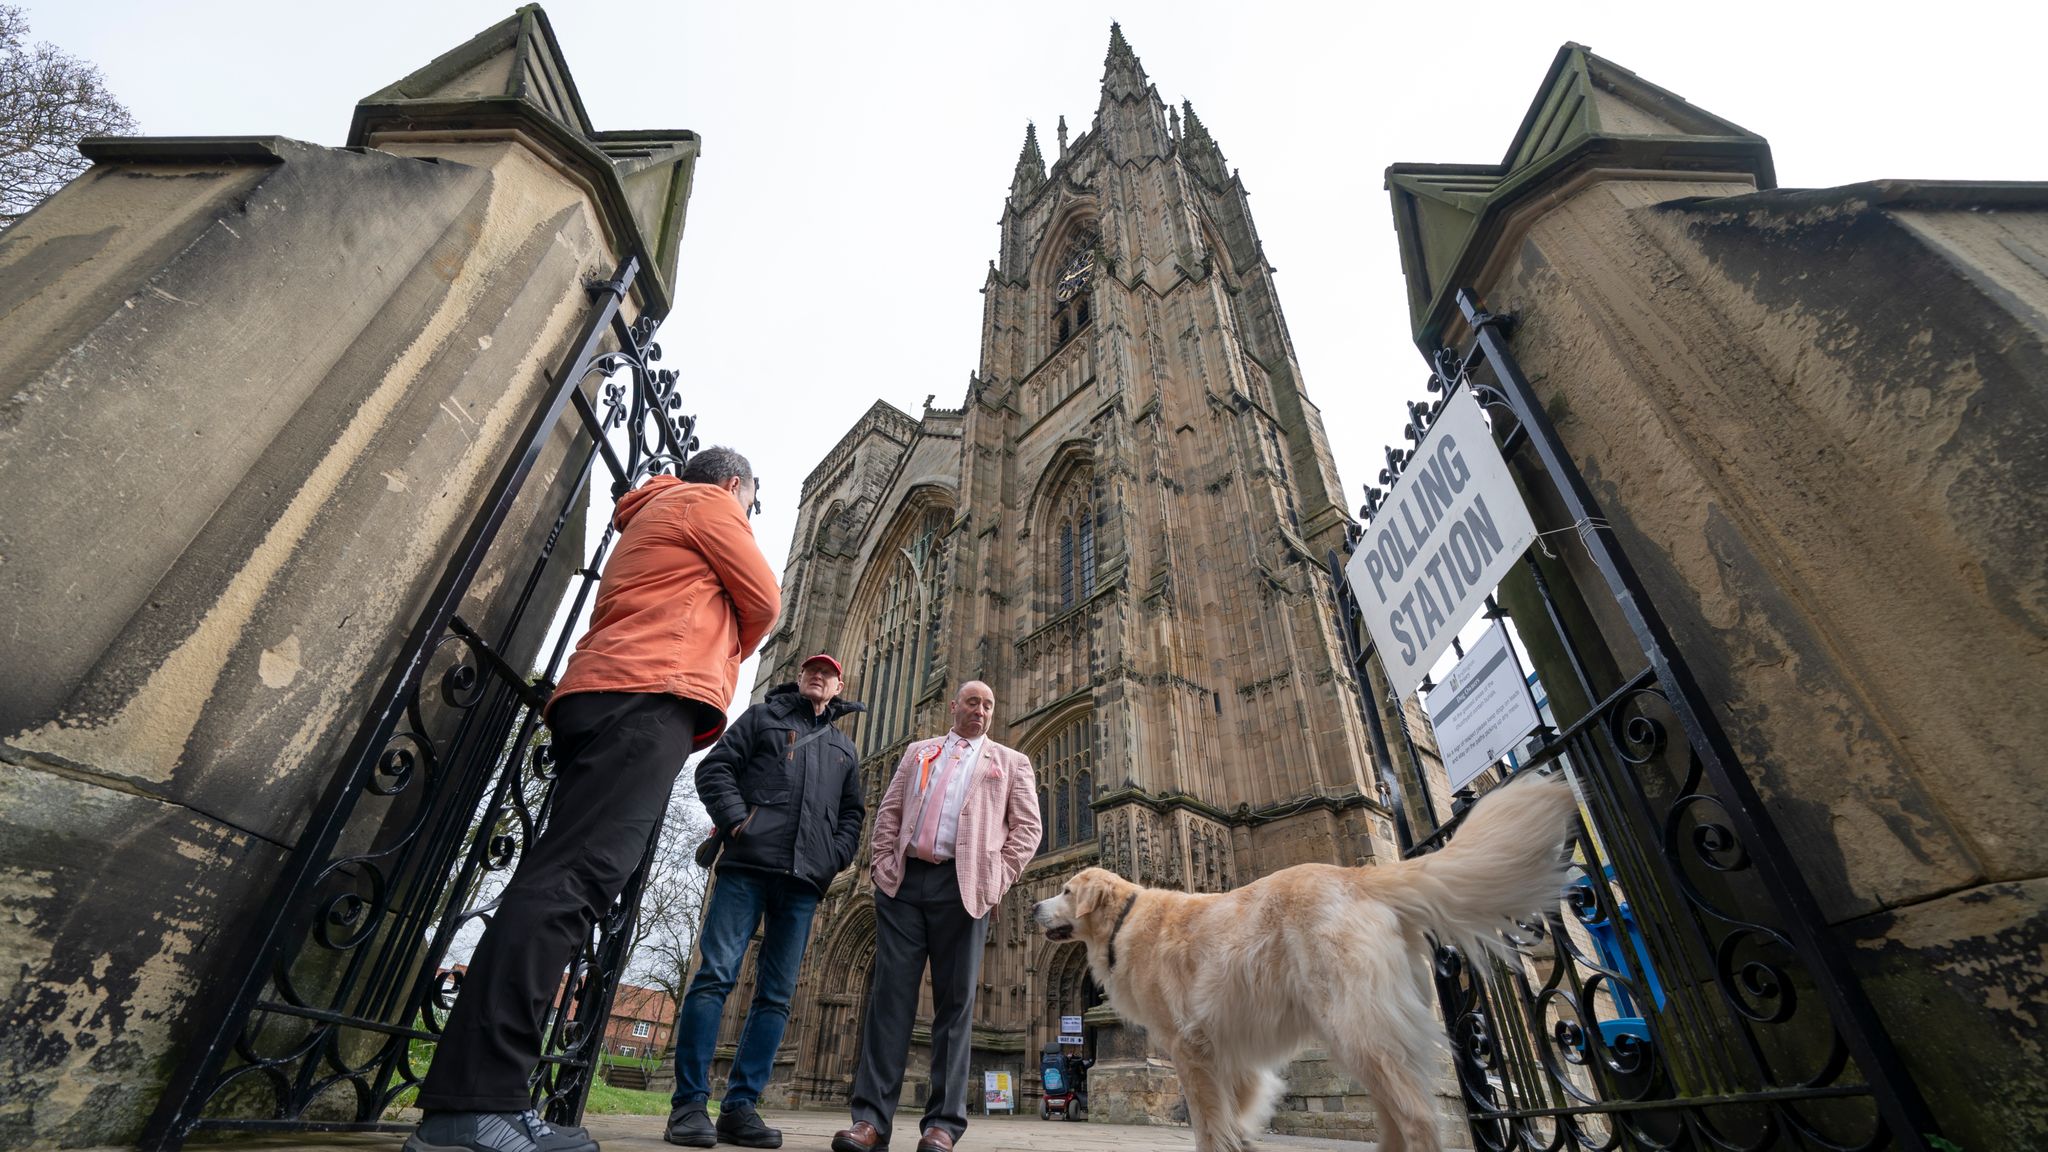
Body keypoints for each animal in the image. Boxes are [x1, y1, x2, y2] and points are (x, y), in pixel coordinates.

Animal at [1032, 766, 1572, 1147]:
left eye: (1066, 890)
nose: (1034, 906)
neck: (1129, 916)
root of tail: (1358, 876)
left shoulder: (1190, 1044)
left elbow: (1208, 1124)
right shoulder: (1227, 1046)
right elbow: (1231, 1119)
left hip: (1354, 1021)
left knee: (1417, 1115)